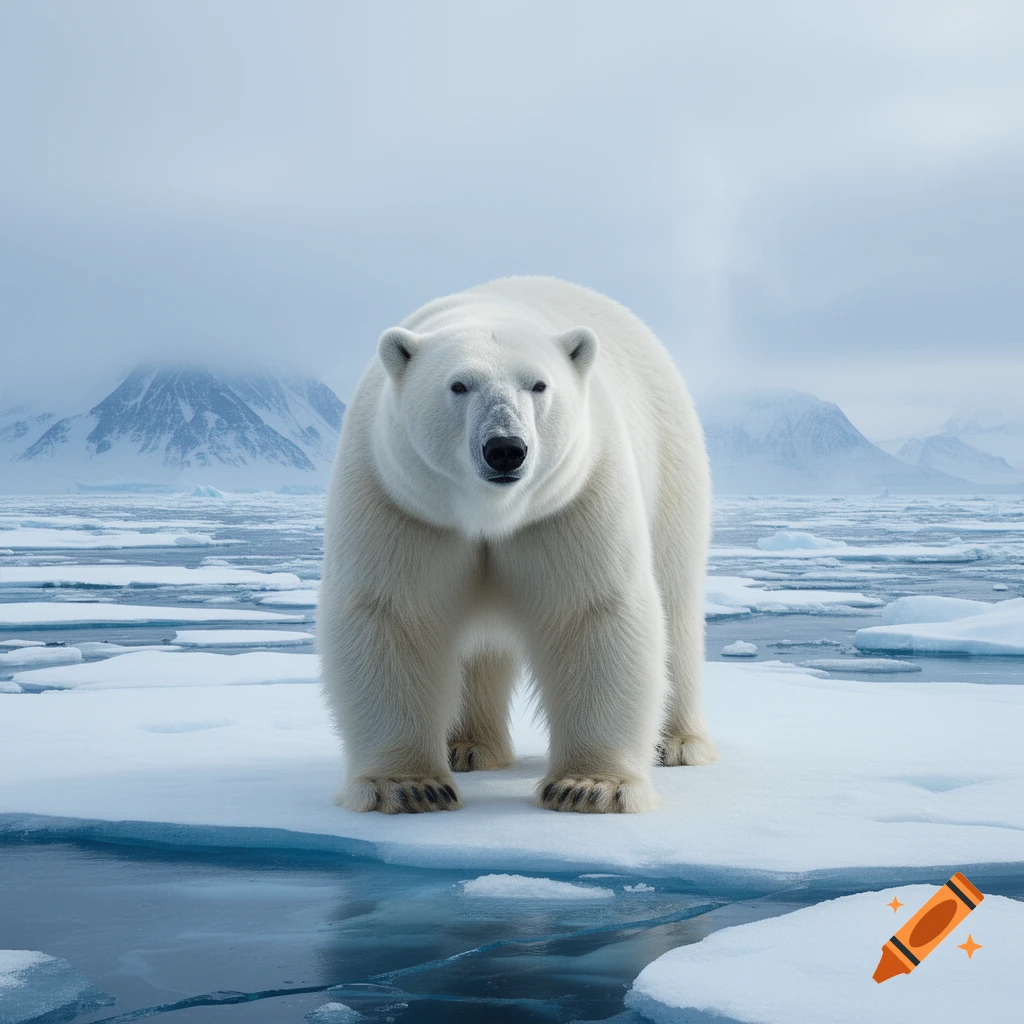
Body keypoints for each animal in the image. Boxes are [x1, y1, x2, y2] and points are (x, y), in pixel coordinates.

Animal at [319, 276, 715, 814]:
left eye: (538, 385)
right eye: (459, 385)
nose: (505, 448)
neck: (492, 513)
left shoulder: (571, 501)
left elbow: (591, 610)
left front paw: (589, 787)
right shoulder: (402, 502)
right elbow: (392, 614)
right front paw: (408, 786)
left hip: (672, 466)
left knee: (676, 603)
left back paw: (676, 744)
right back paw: (467, 746)